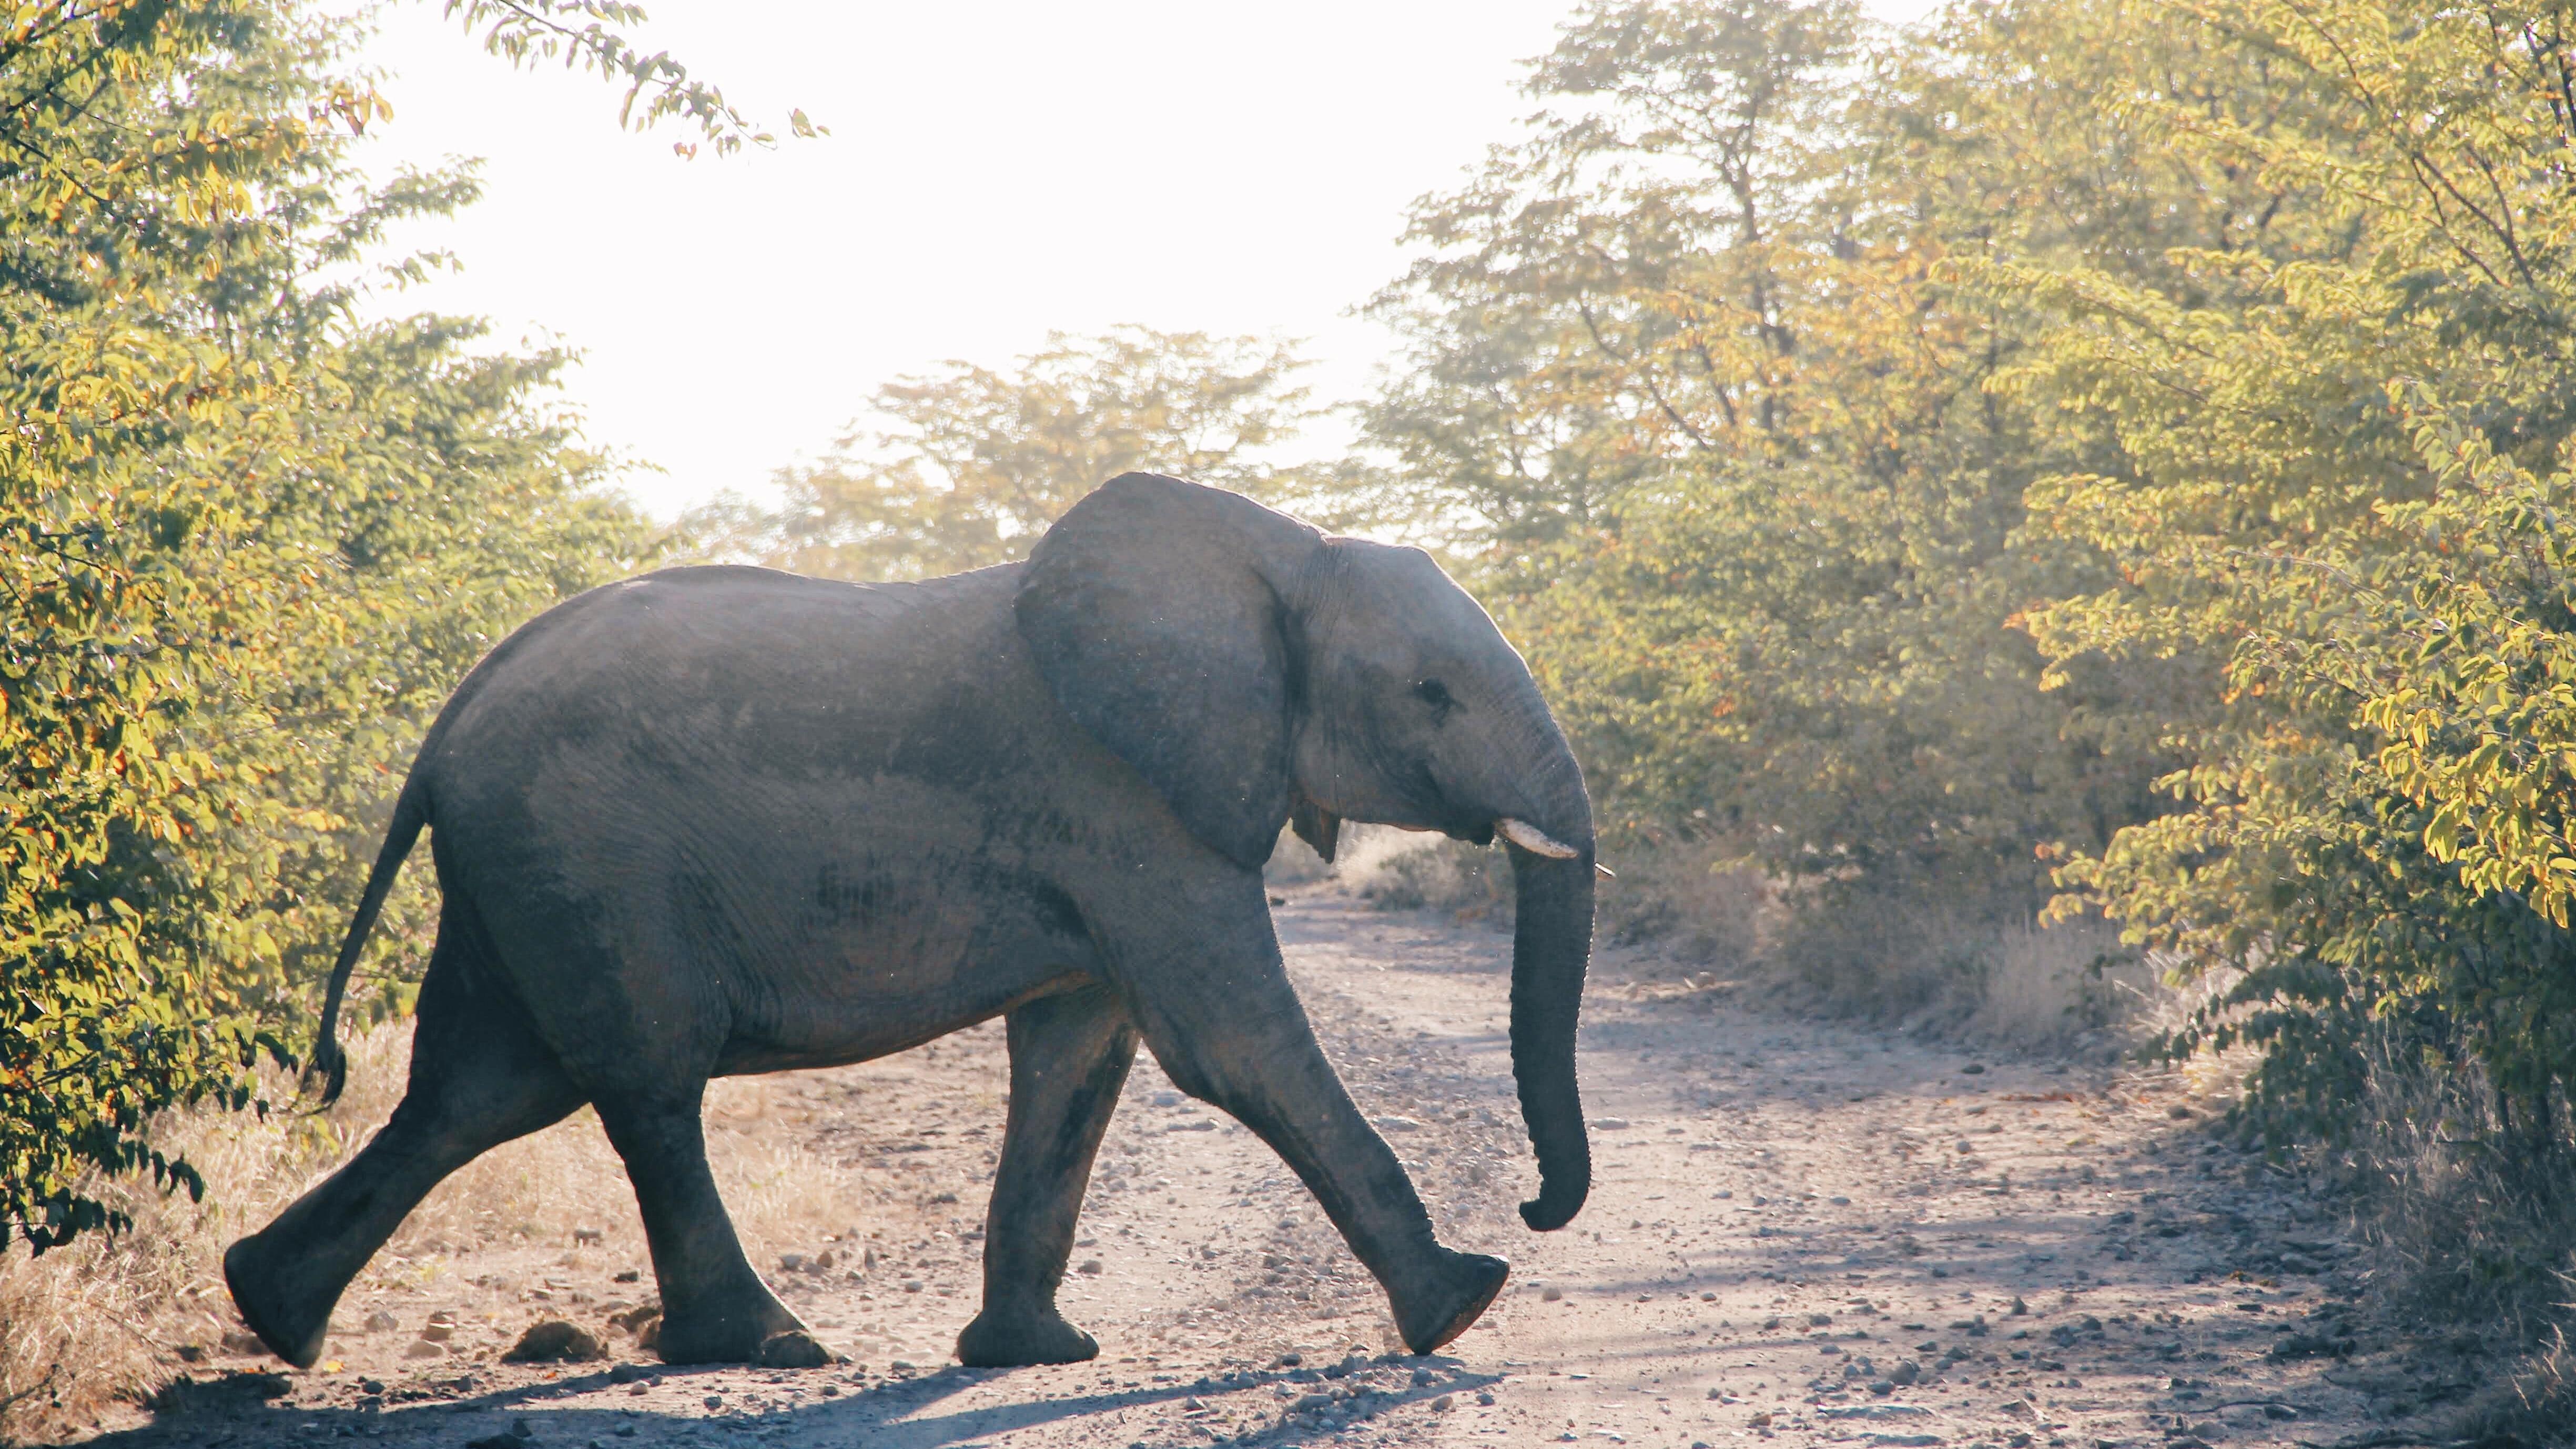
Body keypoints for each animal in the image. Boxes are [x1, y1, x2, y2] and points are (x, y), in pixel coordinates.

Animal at [227, 472, 1587, 1361]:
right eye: (1429, 693)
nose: (1535, 1206)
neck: (1278, 548)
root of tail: (441, 727)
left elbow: (1078, 1059)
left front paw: (1033, 1356)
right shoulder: (1127, 800)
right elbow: (1232, 1045)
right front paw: (1466, 1302)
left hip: (518, 877)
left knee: (480, 1092)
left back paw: (271, 1321)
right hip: (582, 861)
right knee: (642, 1085)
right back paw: (768, 1346)